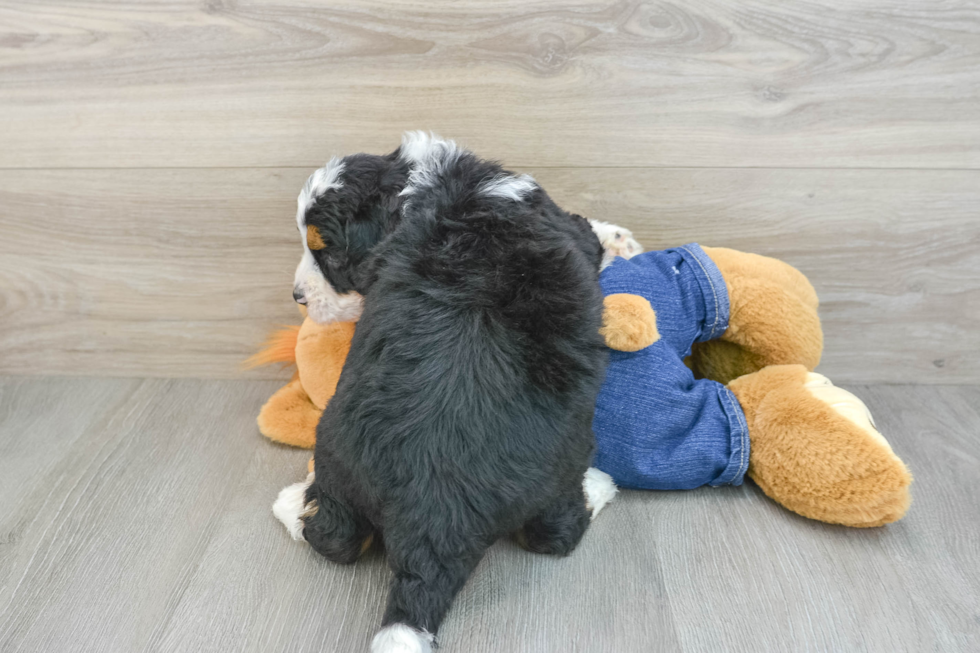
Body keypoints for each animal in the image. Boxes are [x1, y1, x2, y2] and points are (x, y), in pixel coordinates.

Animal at [276, 132, 640, 652]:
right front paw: (620, 238)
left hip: (336, 454)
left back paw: (295, 501)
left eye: (330, 256)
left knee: (334, 538)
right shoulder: (559, 222)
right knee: (556, 532)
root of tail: (432, 512)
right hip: (565, 457)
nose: (298, 298)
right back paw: (598, 486)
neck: (433, 189)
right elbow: (586, 230)